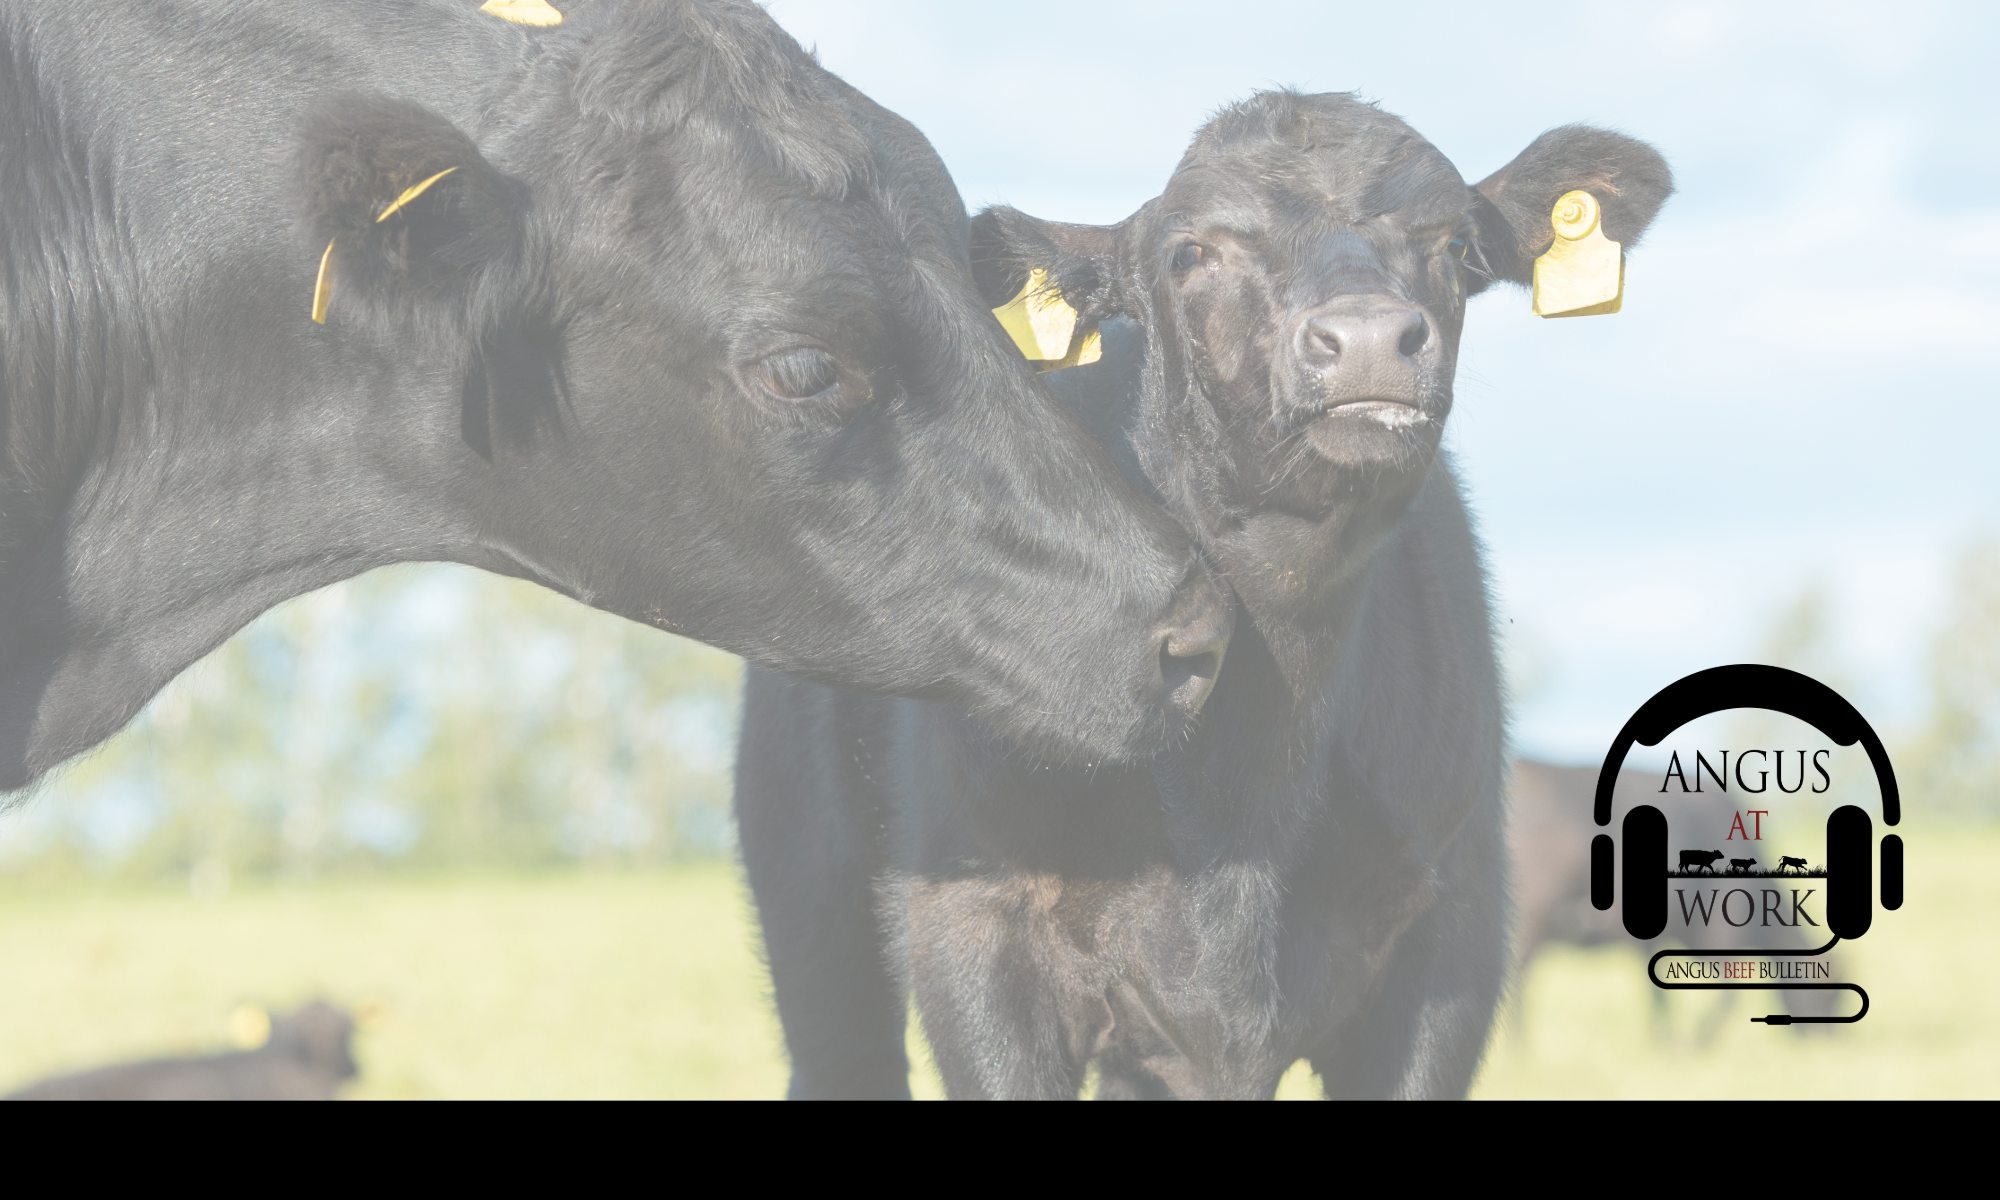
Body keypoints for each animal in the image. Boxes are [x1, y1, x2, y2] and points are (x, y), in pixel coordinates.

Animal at [736, 92, 1674, 1098]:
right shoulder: (977, 934)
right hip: (810, 886)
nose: (1369, 340)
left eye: (1457, 243)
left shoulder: (1448, 938)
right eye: (1191, 253)